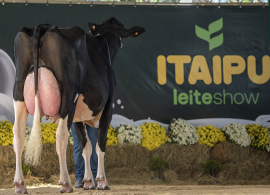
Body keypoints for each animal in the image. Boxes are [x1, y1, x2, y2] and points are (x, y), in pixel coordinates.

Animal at [12, 17, 144, 194]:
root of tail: (44, 26)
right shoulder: (108, 107)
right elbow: (100, 144)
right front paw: (101, 181)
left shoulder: (77, 117)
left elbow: (85, 146)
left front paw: (88, 181)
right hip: (69, 96)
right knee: (60, 135)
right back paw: (65, 183)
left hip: (19, 91)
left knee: (18, 134)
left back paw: (20, 184)